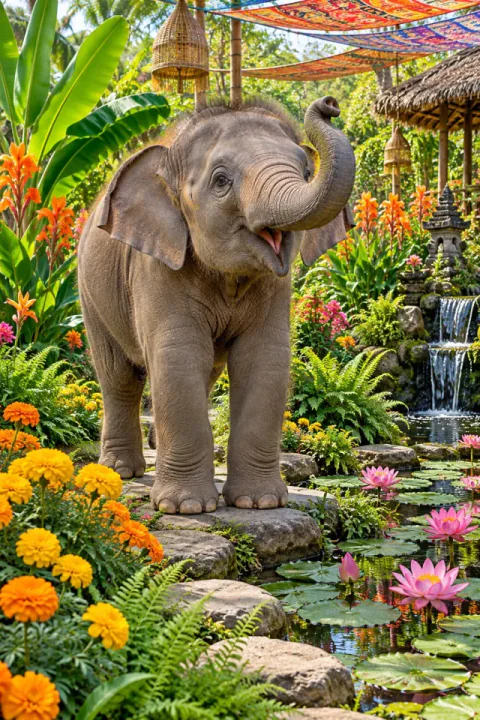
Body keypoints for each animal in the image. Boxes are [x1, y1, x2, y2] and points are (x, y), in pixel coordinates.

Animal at [77, 95, 355, 514]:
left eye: (308, 171)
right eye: (221, 180)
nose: (329, 103)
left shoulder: (276, 286)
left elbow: (264, 359)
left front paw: (260, 503)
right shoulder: (157, 264)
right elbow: (178, 356)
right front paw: (187, 508)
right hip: (89, 294)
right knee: (118, 375)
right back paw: (121, 471)